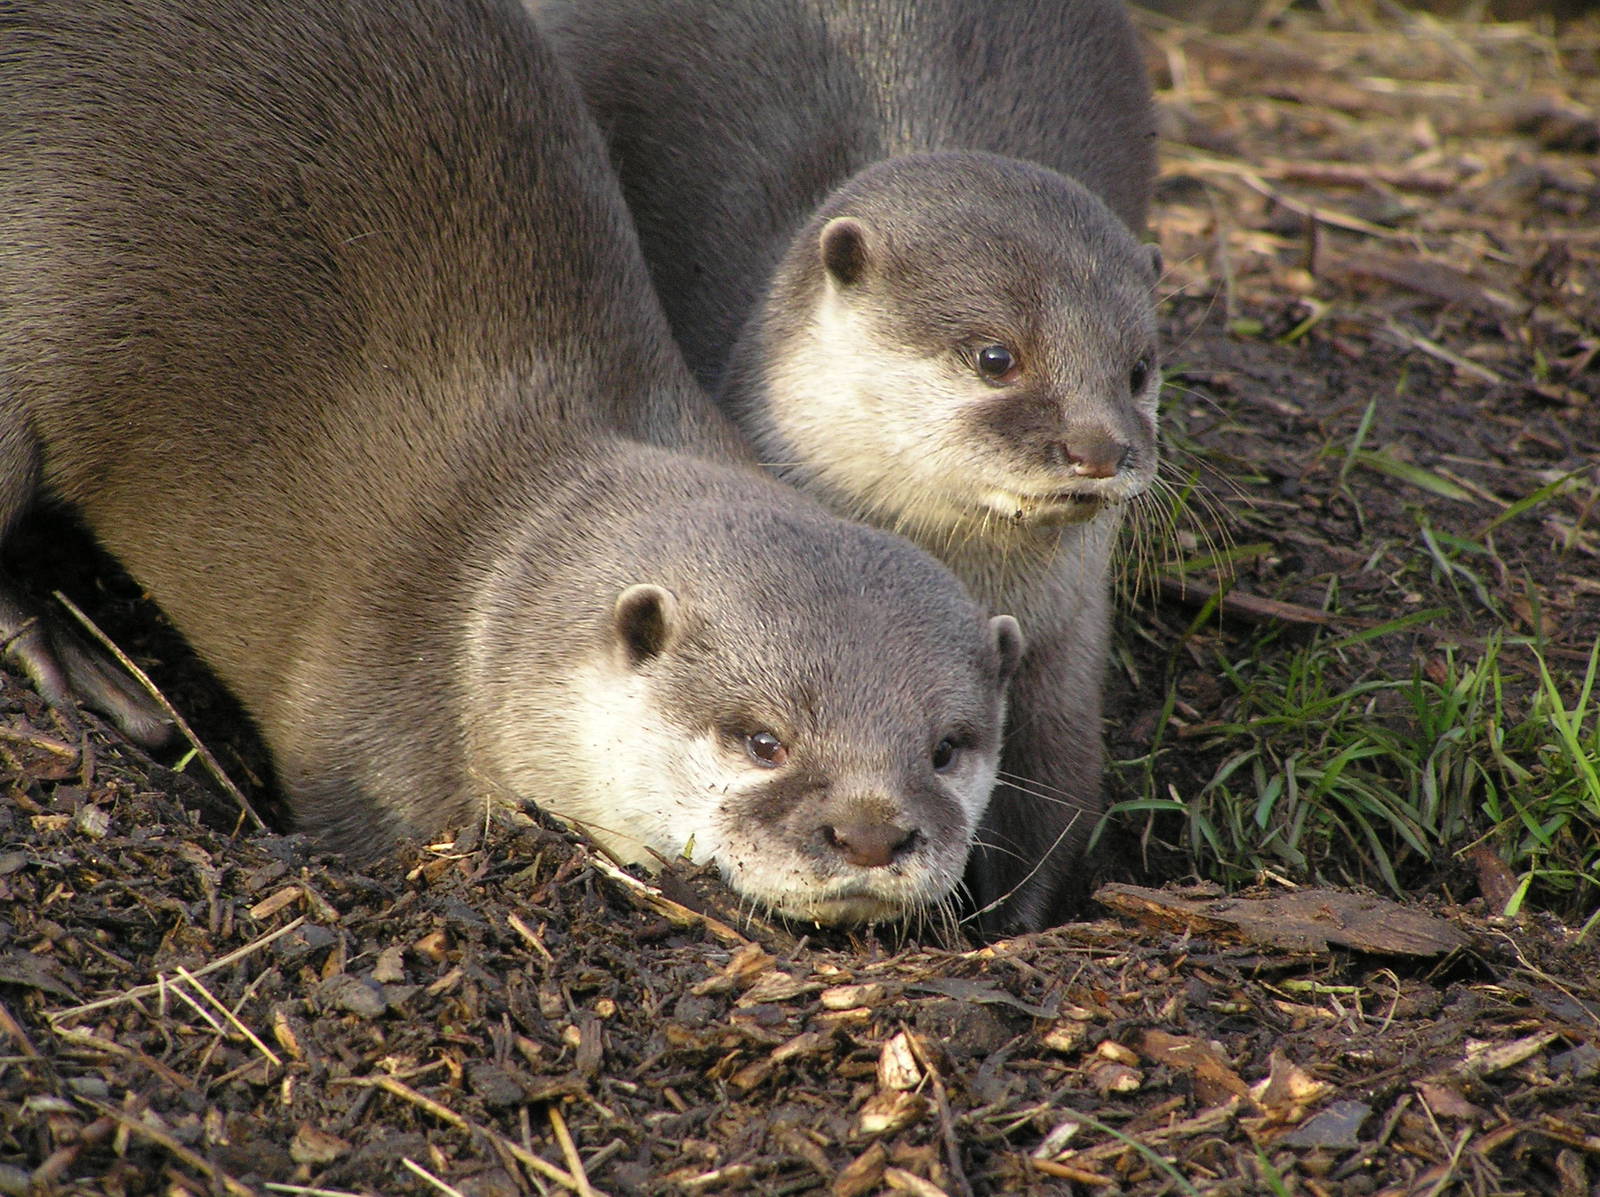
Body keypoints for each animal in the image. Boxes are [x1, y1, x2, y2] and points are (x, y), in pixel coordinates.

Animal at [529, 0, 1163, 932]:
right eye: (996, 356)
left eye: (1139, 369)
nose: (1100, 447)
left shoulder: (1063, 659)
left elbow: (1053, 814)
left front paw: (1009, 924)